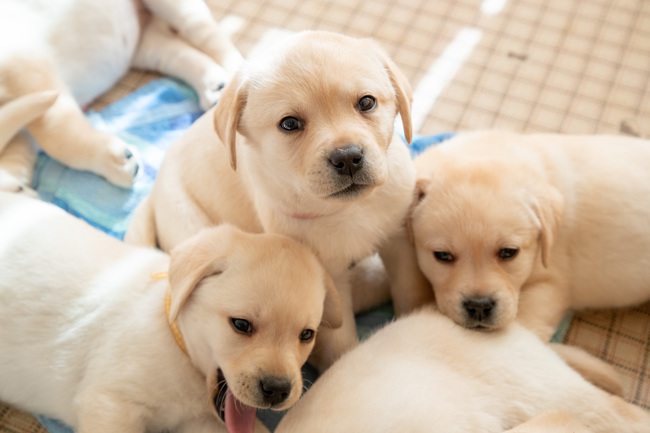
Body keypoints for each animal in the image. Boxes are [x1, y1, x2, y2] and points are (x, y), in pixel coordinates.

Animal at [0, 194, 340, 432]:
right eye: (241, 325)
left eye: (306, 335)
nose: (278, 390)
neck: (178, 344)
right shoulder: (109, 403)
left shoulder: (202, 421)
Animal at [125, 29, 430, 368]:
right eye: (290, 124)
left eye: (366, 103)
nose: (348, 157)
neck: (347, 209)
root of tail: (153, 193)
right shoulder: (329, 278)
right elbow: (339, 340)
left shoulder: (399, 238)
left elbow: (410, 288)